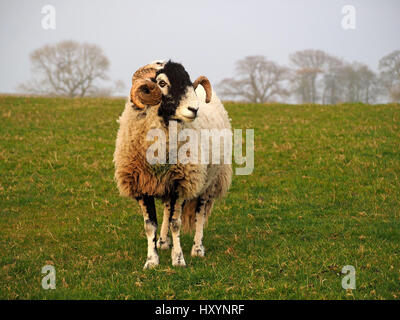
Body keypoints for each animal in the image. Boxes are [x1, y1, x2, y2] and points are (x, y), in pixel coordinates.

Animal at [113, 60, 231, 270]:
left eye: (188, 81)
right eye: (161, 83)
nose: (194, 109)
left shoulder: (181, 182)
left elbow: (176, 223)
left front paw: (178, 259)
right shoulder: (142, 185)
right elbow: (150, 225)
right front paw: (152, 260)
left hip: (209, 181)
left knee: (200, 213)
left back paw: (197, 248)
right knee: (168, 210)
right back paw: (163, 241)